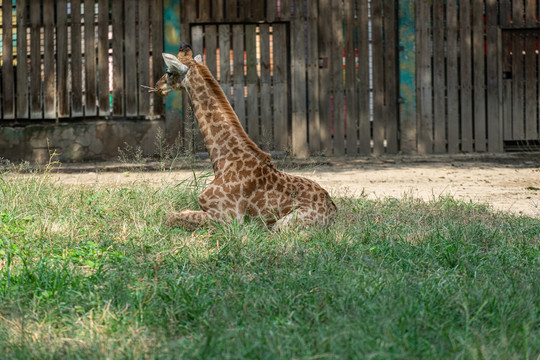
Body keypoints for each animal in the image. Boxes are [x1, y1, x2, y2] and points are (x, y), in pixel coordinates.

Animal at [153, 43, 338, 231]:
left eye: (169, 71)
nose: (157, 86)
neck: (224, 161)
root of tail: (333, 211)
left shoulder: (229, 219)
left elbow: (170, 217)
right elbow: (176, 212)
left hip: (283, 224)